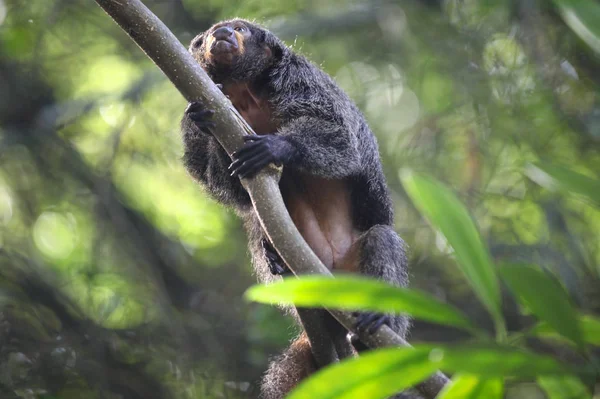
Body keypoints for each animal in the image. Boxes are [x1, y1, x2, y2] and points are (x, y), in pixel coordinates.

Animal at [180, 19, 410, 399]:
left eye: (239, 28)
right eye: (209, 35)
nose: (223, 33)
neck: (245, 90)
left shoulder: (297, 77)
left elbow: (341, 136)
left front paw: (279, 146)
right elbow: (233, 192)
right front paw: (203, 121)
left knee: (381, 238)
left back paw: (377, 326)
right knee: (259, 227)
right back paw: (279, 262)